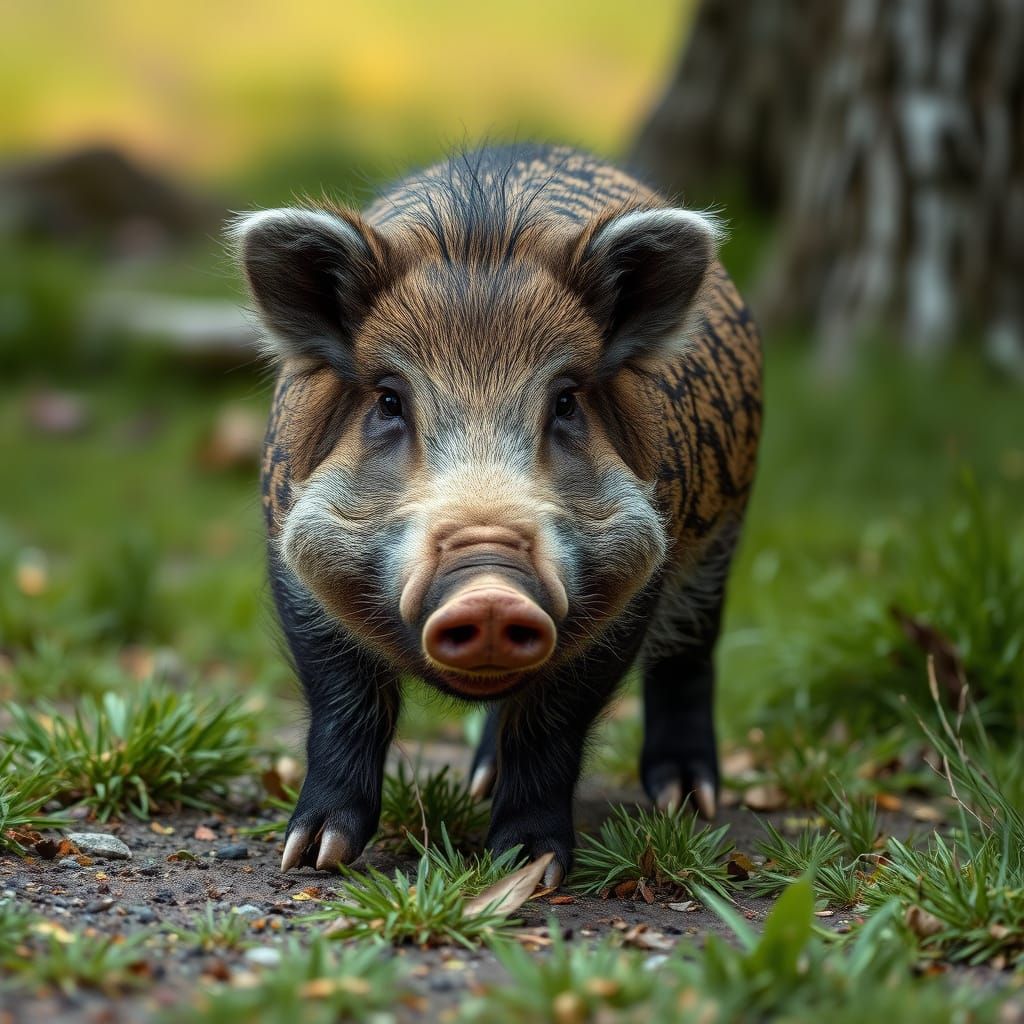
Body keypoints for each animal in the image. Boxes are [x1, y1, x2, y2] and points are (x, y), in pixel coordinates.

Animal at [231, 144, 762, 886]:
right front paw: (311, 858)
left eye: (565, 400)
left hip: (720, 541)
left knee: (690, 655)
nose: (487, 590)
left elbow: (552, 724)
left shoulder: (636, 587)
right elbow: (344, 707)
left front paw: (525, 868)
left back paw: (687, 801)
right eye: (389, 400)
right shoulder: (295, 562)